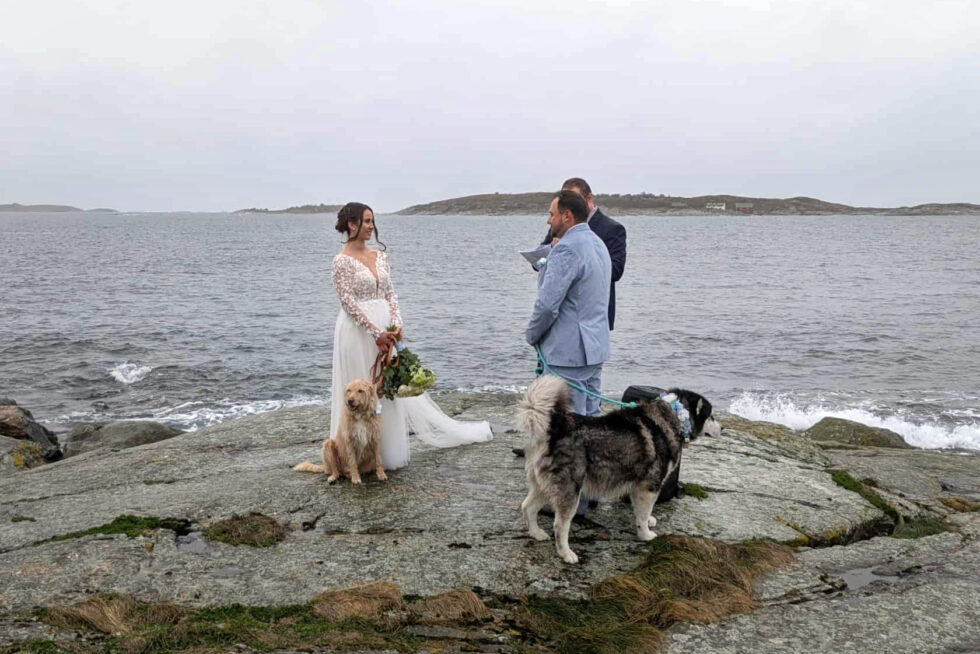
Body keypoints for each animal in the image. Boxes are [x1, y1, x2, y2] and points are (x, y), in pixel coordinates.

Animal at [518, 375, 721, 563]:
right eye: (712, 416)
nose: (723, 428)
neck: (674, 417)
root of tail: (556, 427)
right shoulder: (648, 486)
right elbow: (642, 514)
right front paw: (645, 534)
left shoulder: (638, 486)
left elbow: (643, 511)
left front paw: (649, 521)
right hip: (569, 491)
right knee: (559, 525)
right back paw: (566, 553)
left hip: (544, 486)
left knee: (527, 507)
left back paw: (536, 533)